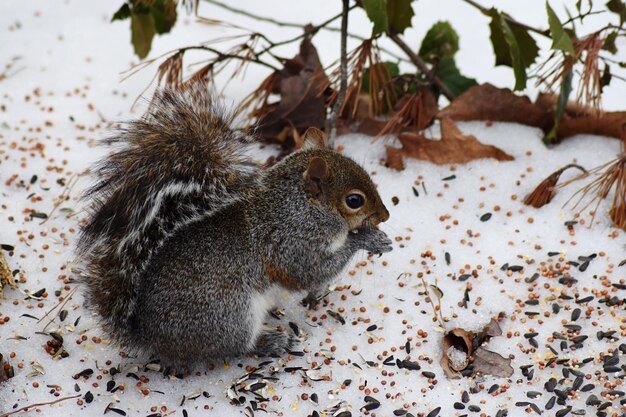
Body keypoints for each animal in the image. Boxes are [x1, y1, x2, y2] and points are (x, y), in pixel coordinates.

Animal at [77, 86, 390, 368]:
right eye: (354, 200)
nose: (385, 216)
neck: (297, 207)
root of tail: (147, 335)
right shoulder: (290, 244)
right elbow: (311, 271)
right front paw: (366, 240)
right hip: (231, 314)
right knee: (237, 346)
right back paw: (269, 342)